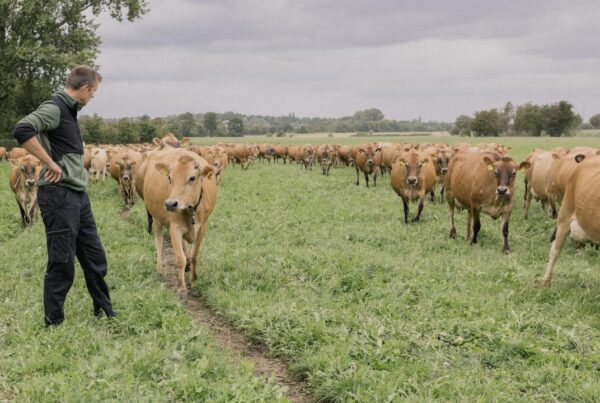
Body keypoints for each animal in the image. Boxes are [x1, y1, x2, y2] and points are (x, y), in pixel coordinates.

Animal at [143, 148, 218, 296]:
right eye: (169, 178)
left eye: (192, 178)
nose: (170, 204)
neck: (190, 210)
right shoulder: (175, 228)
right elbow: (179, 258)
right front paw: (181, 287)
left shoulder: (203, 227)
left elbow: (194, 255)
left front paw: (193, 279)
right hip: (156, 219)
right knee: (159, 241)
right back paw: (159, 268)